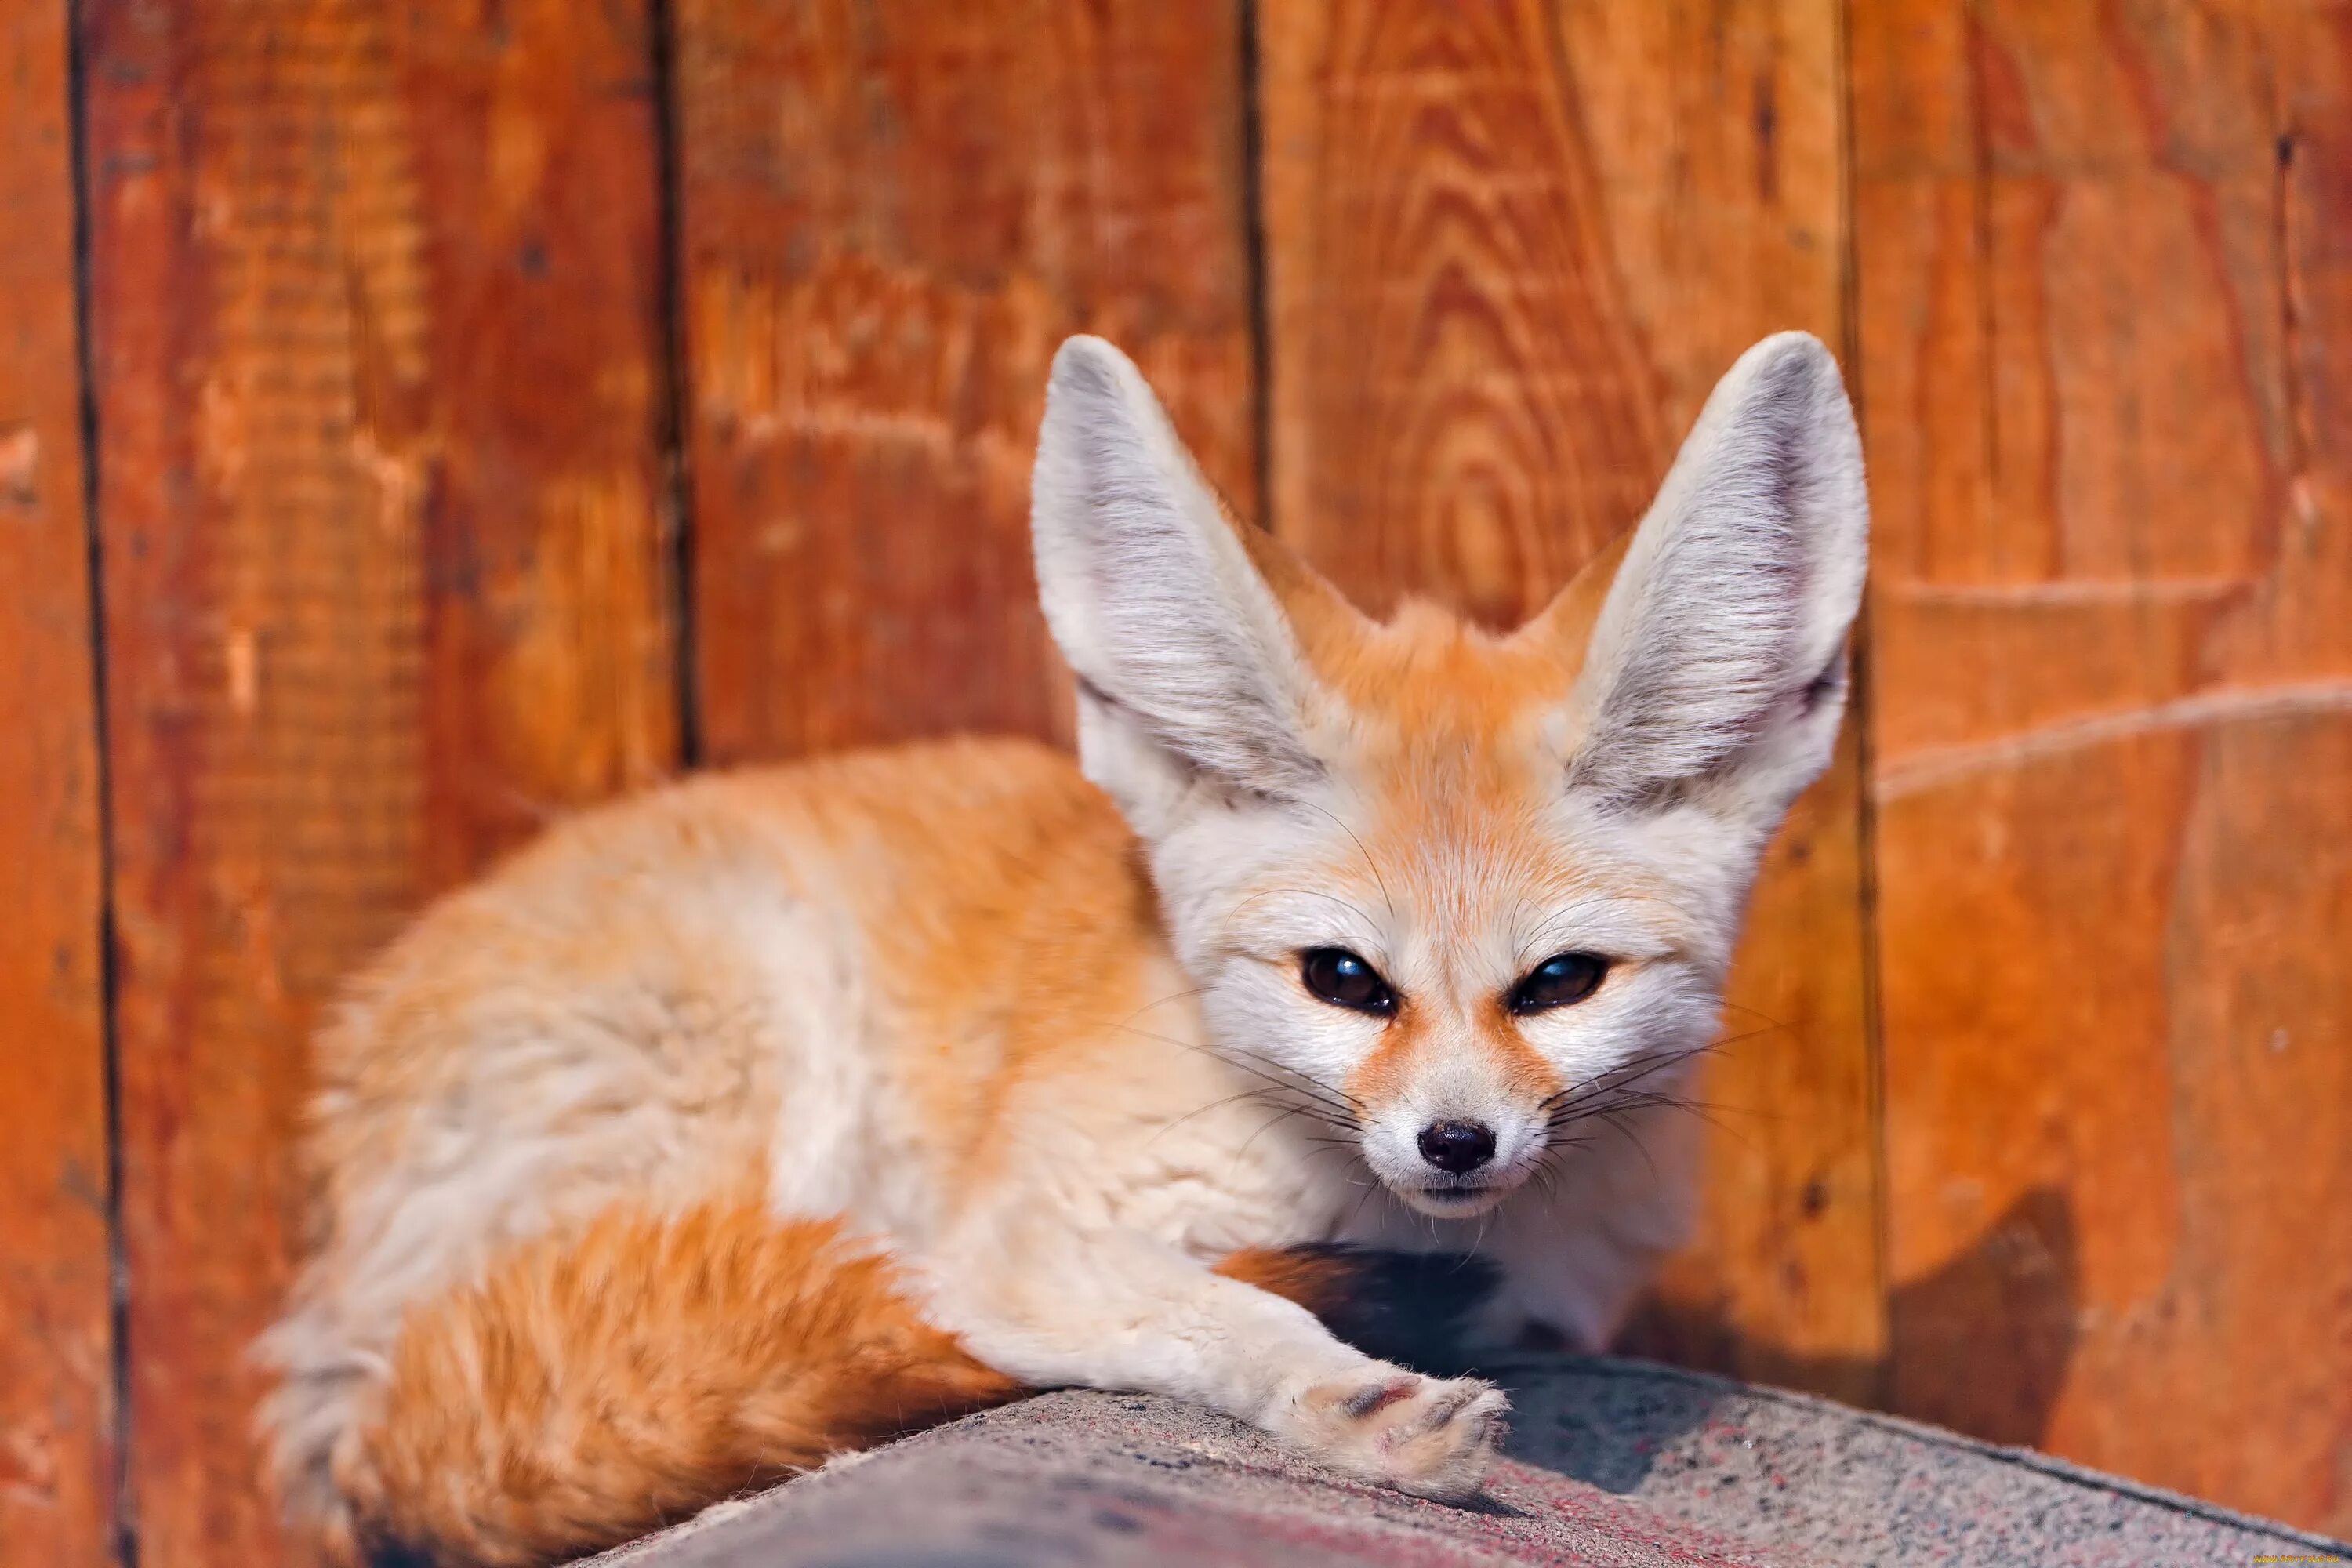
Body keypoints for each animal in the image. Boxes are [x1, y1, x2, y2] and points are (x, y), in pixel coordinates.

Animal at [262, 328, 1872, 1561]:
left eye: (1558, 985)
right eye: (1345, 982)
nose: (1456, 1144)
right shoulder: (1010, 1242)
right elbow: (1219, 1314)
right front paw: (1358, 1408)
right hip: (752, 1073)